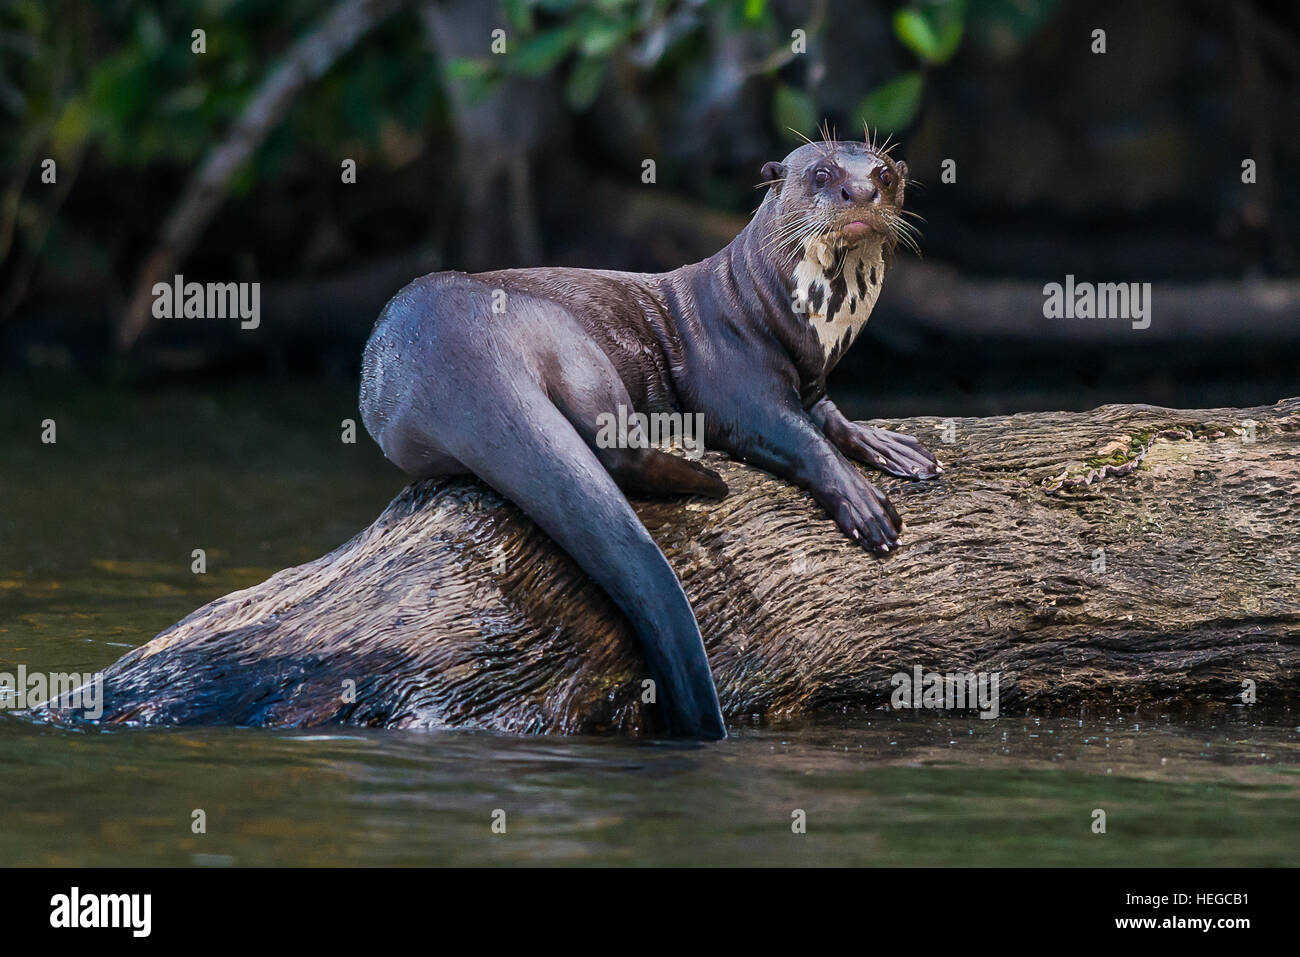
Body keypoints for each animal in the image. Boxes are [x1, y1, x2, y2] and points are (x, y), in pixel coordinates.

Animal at [361, 132, 941, 738]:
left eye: (883, 172)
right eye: (822, 174)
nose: (861, 192)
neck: (773, 310)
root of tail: (451, 348)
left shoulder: (812, 381)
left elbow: (830, 418)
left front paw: (892, 448)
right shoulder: (732, 381)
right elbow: (796, 436)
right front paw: (862, 503)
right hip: (568, 339)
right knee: (615, 452)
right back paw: (706, 478)